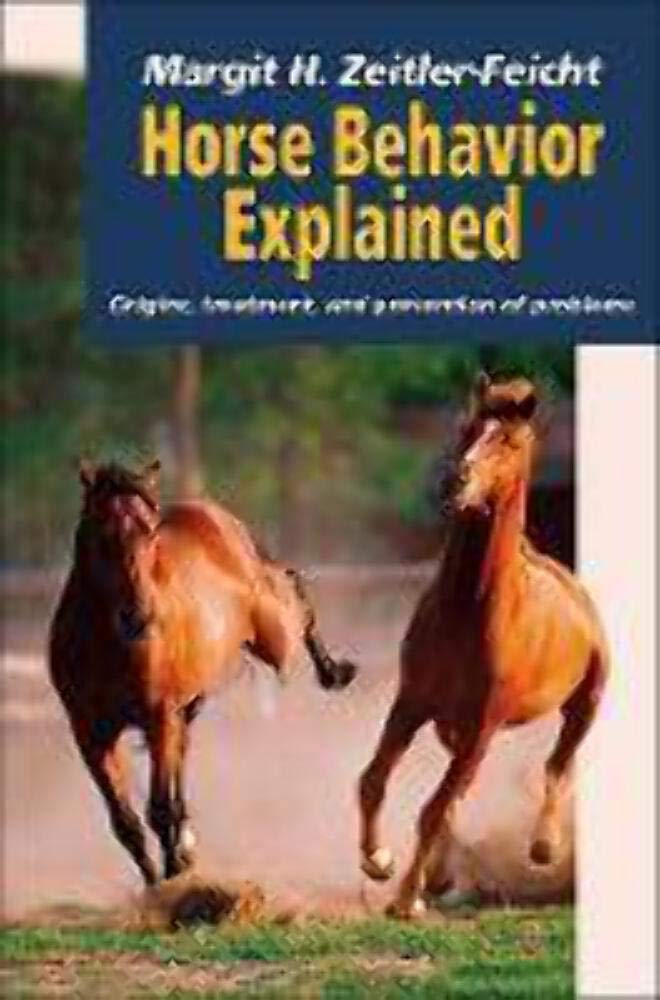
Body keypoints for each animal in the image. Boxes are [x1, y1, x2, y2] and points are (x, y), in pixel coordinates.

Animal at [49, 459, 357, 886]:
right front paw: (158, 880)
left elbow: (159, 810)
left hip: (274, 638)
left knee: (293, 589)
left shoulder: (159, 715)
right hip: (190, 703)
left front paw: (173, 876)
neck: (106, 643)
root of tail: (218, 517)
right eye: (101, 530)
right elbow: (125, 822)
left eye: (149, 530)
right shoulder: (91, 732)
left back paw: (335, 671)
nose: (137, 617)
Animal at [357, 373, 608, 918]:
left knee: (556, 764)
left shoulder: (482, 725)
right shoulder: (411, 705)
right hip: (449, 728)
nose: (456, 483)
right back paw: (439, 874)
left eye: (509, 441)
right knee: (457, 793)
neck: (469, 613)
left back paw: (544, 847)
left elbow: (432, 809)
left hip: (584, 703)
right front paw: (380, 862)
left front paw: (405, 900)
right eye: (467, 429)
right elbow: (374, 780)